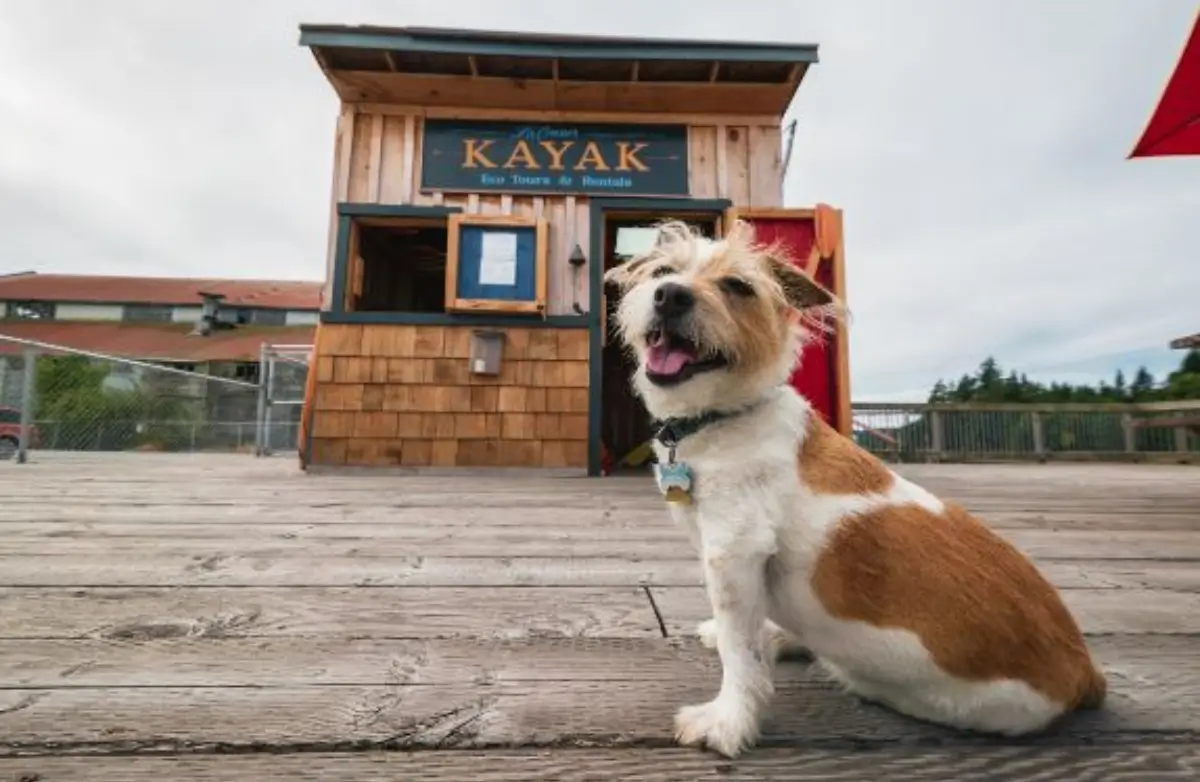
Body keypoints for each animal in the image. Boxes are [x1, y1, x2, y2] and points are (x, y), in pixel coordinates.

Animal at [604, 219, 1108, 758]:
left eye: (737, 286)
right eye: (663, 271)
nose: (670, 295)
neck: (725, 417)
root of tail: (1086, 672)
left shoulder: (734, 553)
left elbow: (740, 655)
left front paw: (728, 722)